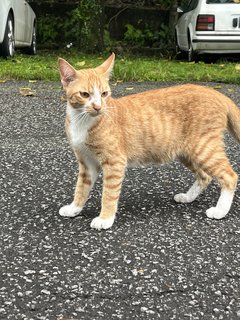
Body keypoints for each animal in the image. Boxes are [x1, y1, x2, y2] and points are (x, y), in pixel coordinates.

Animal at [58, 54, 240, 230]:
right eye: (84, 94)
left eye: (104, 94)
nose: (98, 107)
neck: (83, 121)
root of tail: (214, 92)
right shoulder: (87, 163)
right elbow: (81, 188)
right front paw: (74, 208)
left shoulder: (114, 162)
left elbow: (109, 194)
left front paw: (105, 219)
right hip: (187, 152)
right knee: (205, 176)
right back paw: (188, 197)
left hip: (203, 148)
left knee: (230, 176)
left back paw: (220, 211)